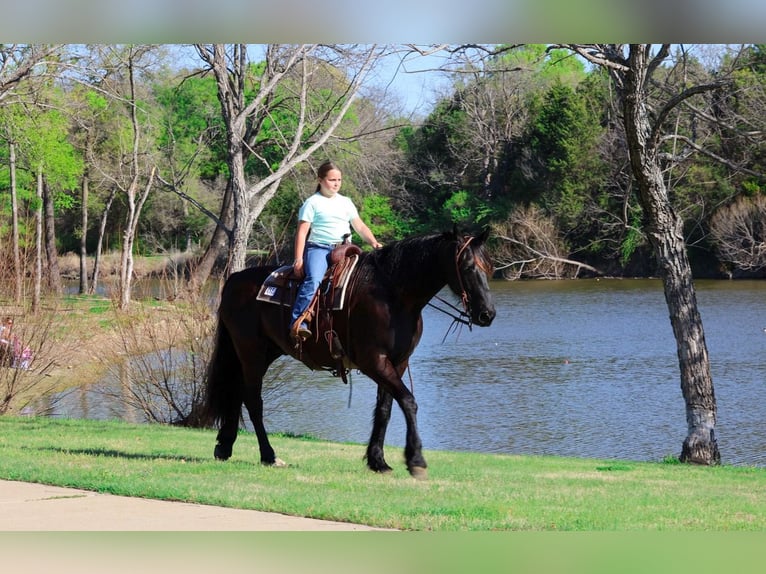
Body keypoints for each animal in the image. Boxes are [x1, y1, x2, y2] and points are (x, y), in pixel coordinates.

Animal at [203, 228, 496, 479]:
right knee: (253, 401)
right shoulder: (373, 361)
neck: (394, 295)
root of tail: (234, 279)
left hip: (262, 353)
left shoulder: (397, 362)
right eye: (468, 268)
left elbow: (385, 409)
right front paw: (416, 460)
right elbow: (408, 401)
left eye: (489, 268)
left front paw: (378, 461)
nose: (487, 314)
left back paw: (224, 446)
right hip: (250, 352)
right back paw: (268, 455)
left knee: (237, 392)